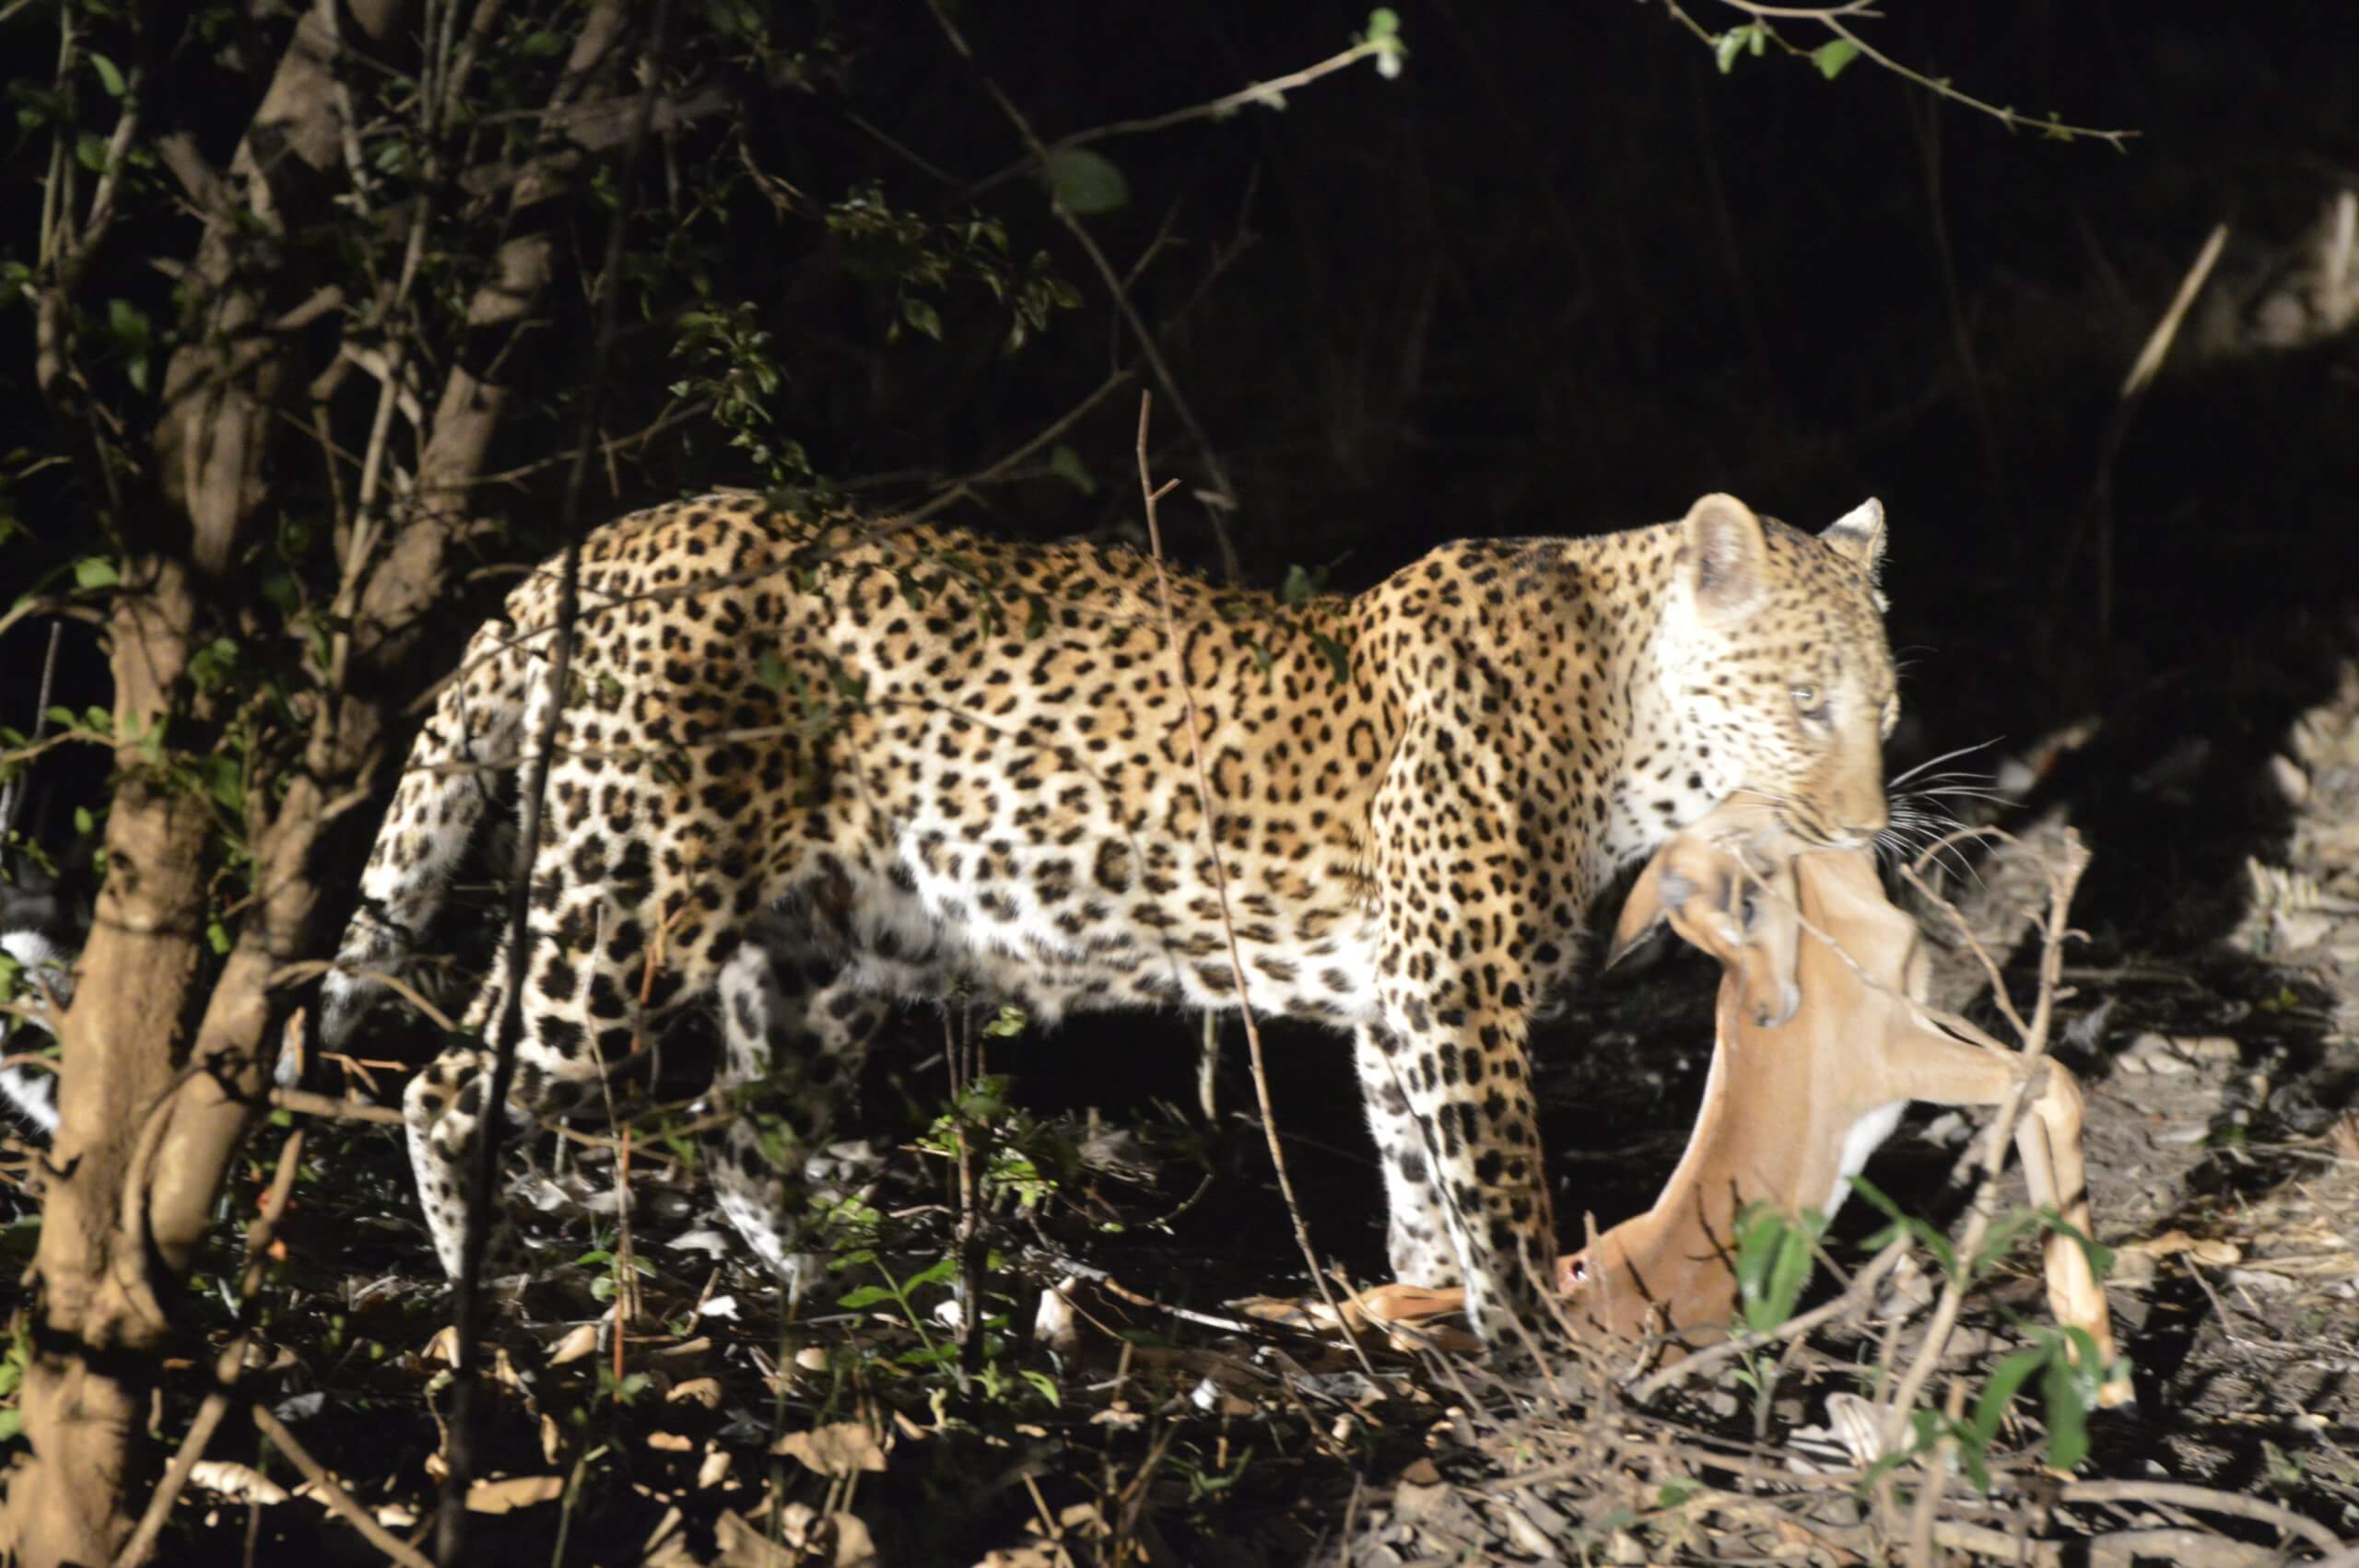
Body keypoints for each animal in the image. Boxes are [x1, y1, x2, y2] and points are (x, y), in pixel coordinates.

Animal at [318, 490, 1896, 1348]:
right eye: (1807, 705)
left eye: (1887, 705)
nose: (1872, 827)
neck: (1622, 718)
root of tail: (595, 547)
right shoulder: (1455, 997)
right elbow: (1499, 1188)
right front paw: (1532, 1343)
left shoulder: (1402, 1006)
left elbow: (1416, 1179)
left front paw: (1421, 1307)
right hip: (628, 891)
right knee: (450, 1084)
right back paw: (471, 1288)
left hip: (824, 948)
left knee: (737, 1127)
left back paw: (836, 1284)